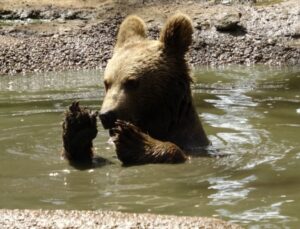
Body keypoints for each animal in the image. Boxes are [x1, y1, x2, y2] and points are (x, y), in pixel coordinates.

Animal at [62, 13, 210, 166]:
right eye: (107, 83)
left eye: (132, 82)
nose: (106, 115)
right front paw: (78, 126)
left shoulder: (192, 143)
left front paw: (135, 141)